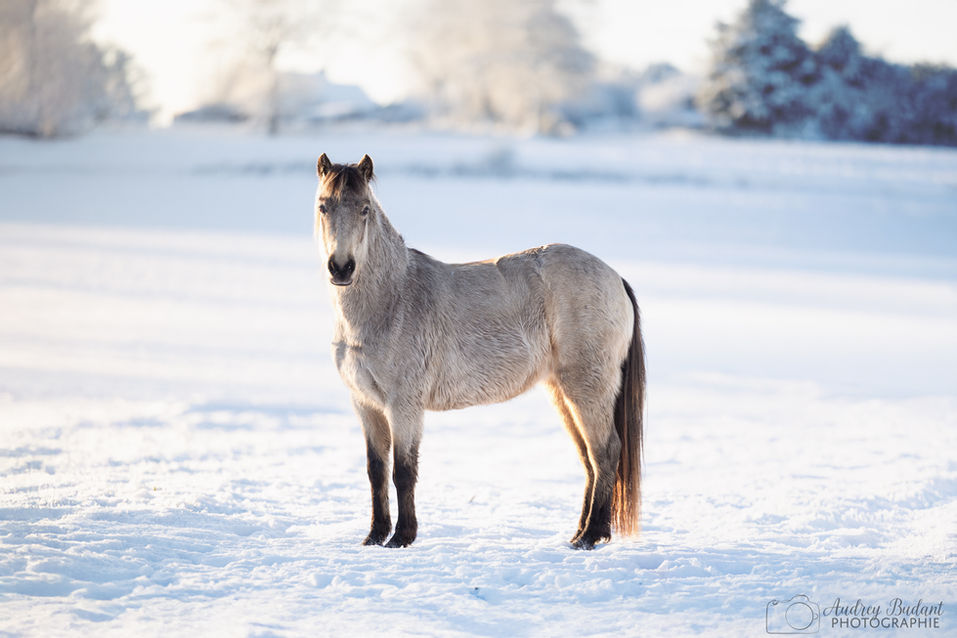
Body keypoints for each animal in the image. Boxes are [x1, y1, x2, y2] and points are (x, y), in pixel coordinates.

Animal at [314, 153, 645, 549]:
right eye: (323, 206)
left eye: (364, 208)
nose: (341, 268)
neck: (392, 298)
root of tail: (614, 276)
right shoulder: (366, 405)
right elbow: (376, 471)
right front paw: (375, 535)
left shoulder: (404, 405)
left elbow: (403, 471)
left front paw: (402, 538)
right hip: (562, 393)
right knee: (588, 459)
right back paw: (579, 533)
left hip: (587, 388)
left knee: (605, 451)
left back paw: (592, 536)